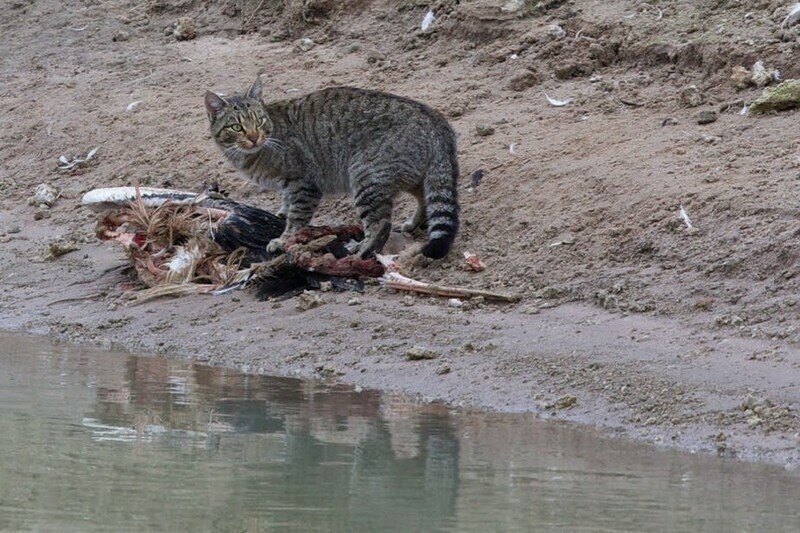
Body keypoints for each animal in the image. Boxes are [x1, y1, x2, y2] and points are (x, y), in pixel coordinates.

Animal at [203, 75, 460, 258]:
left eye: (258, 121)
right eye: (237, 127)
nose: (254, 137)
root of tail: (434, 118)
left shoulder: (303, 184)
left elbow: (297, 217)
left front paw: (284, 239)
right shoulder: (290, 186)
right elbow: (287, 204)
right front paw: (281, 212)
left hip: (365, 174)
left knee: (380, 223)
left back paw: (363, 247)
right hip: (407, 174)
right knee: (424, 197)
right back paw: (415, 222)